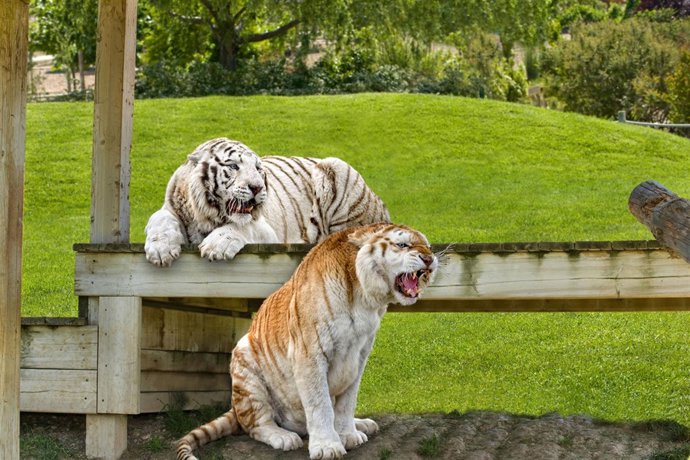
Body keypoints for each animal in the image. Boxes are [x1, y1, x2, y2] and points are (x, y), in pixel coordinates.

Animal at [144, 138, 390, 266]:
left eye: (258, 168)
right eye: (233, 166)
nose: (257, 188)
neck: (206, 216)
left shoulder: (265, 231)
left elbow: (240, 227)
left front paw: (217, 245)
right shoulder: (170, 208)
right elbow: (159, 219)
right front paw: (160, 249)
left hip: (336, 168)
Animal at [175, 223, 439, 460]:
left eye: (427, 245)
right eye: (402, 245)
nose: (429, 259)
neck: (365, 298)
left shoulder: (360, 356)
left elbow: (346, 402)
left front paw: (348, 435)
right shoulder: (309, 353)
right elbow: (319, 404)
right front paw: (328, 447)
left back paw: (362, 424)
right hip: (245, 366)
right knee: (256, 425)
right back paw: (283, 437)